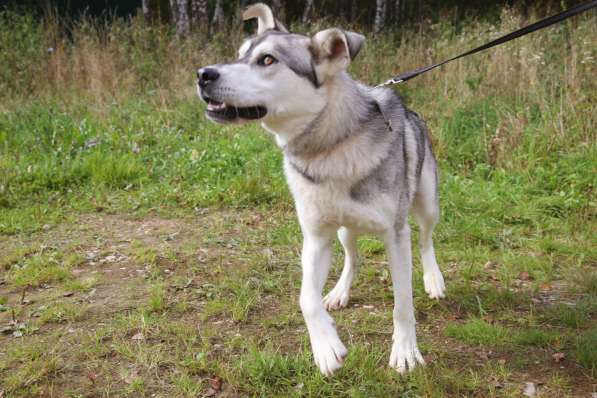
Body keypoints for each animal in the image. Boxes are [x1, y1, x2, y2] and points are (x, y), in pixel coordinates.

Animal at [198, 3, 444, 376]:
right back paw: (339, 292)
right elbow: (306, 298)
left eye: (267, 60)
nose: (203, 74)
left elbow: (402, 303)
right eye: (238, 54)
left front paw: (405, 351)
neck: (331, 147)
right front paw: (326, 347)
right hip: (344, 231)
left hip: (427, 205)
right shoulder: (315, 237)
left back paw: (433, 279)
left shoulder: (396, 235)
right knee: (353, 258)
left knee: (426, 241)